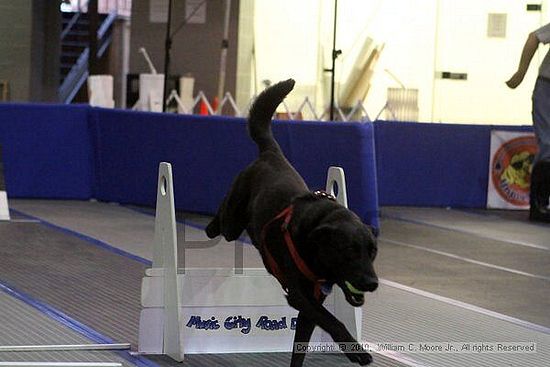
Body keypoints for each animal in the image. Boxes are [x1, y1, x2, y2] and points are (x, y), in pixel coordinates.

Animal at [207, 79, 380, 366]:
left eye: (373, 252)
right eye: (349, 251)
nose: (372, 283)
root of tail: (271, 153)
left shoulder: (313, 301)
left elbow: (303, 343)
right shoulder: (300, 295)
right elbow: (334, 322)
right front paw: (357, 351)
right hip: (232, 218)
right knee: (221, 222)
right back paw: (211, 225)